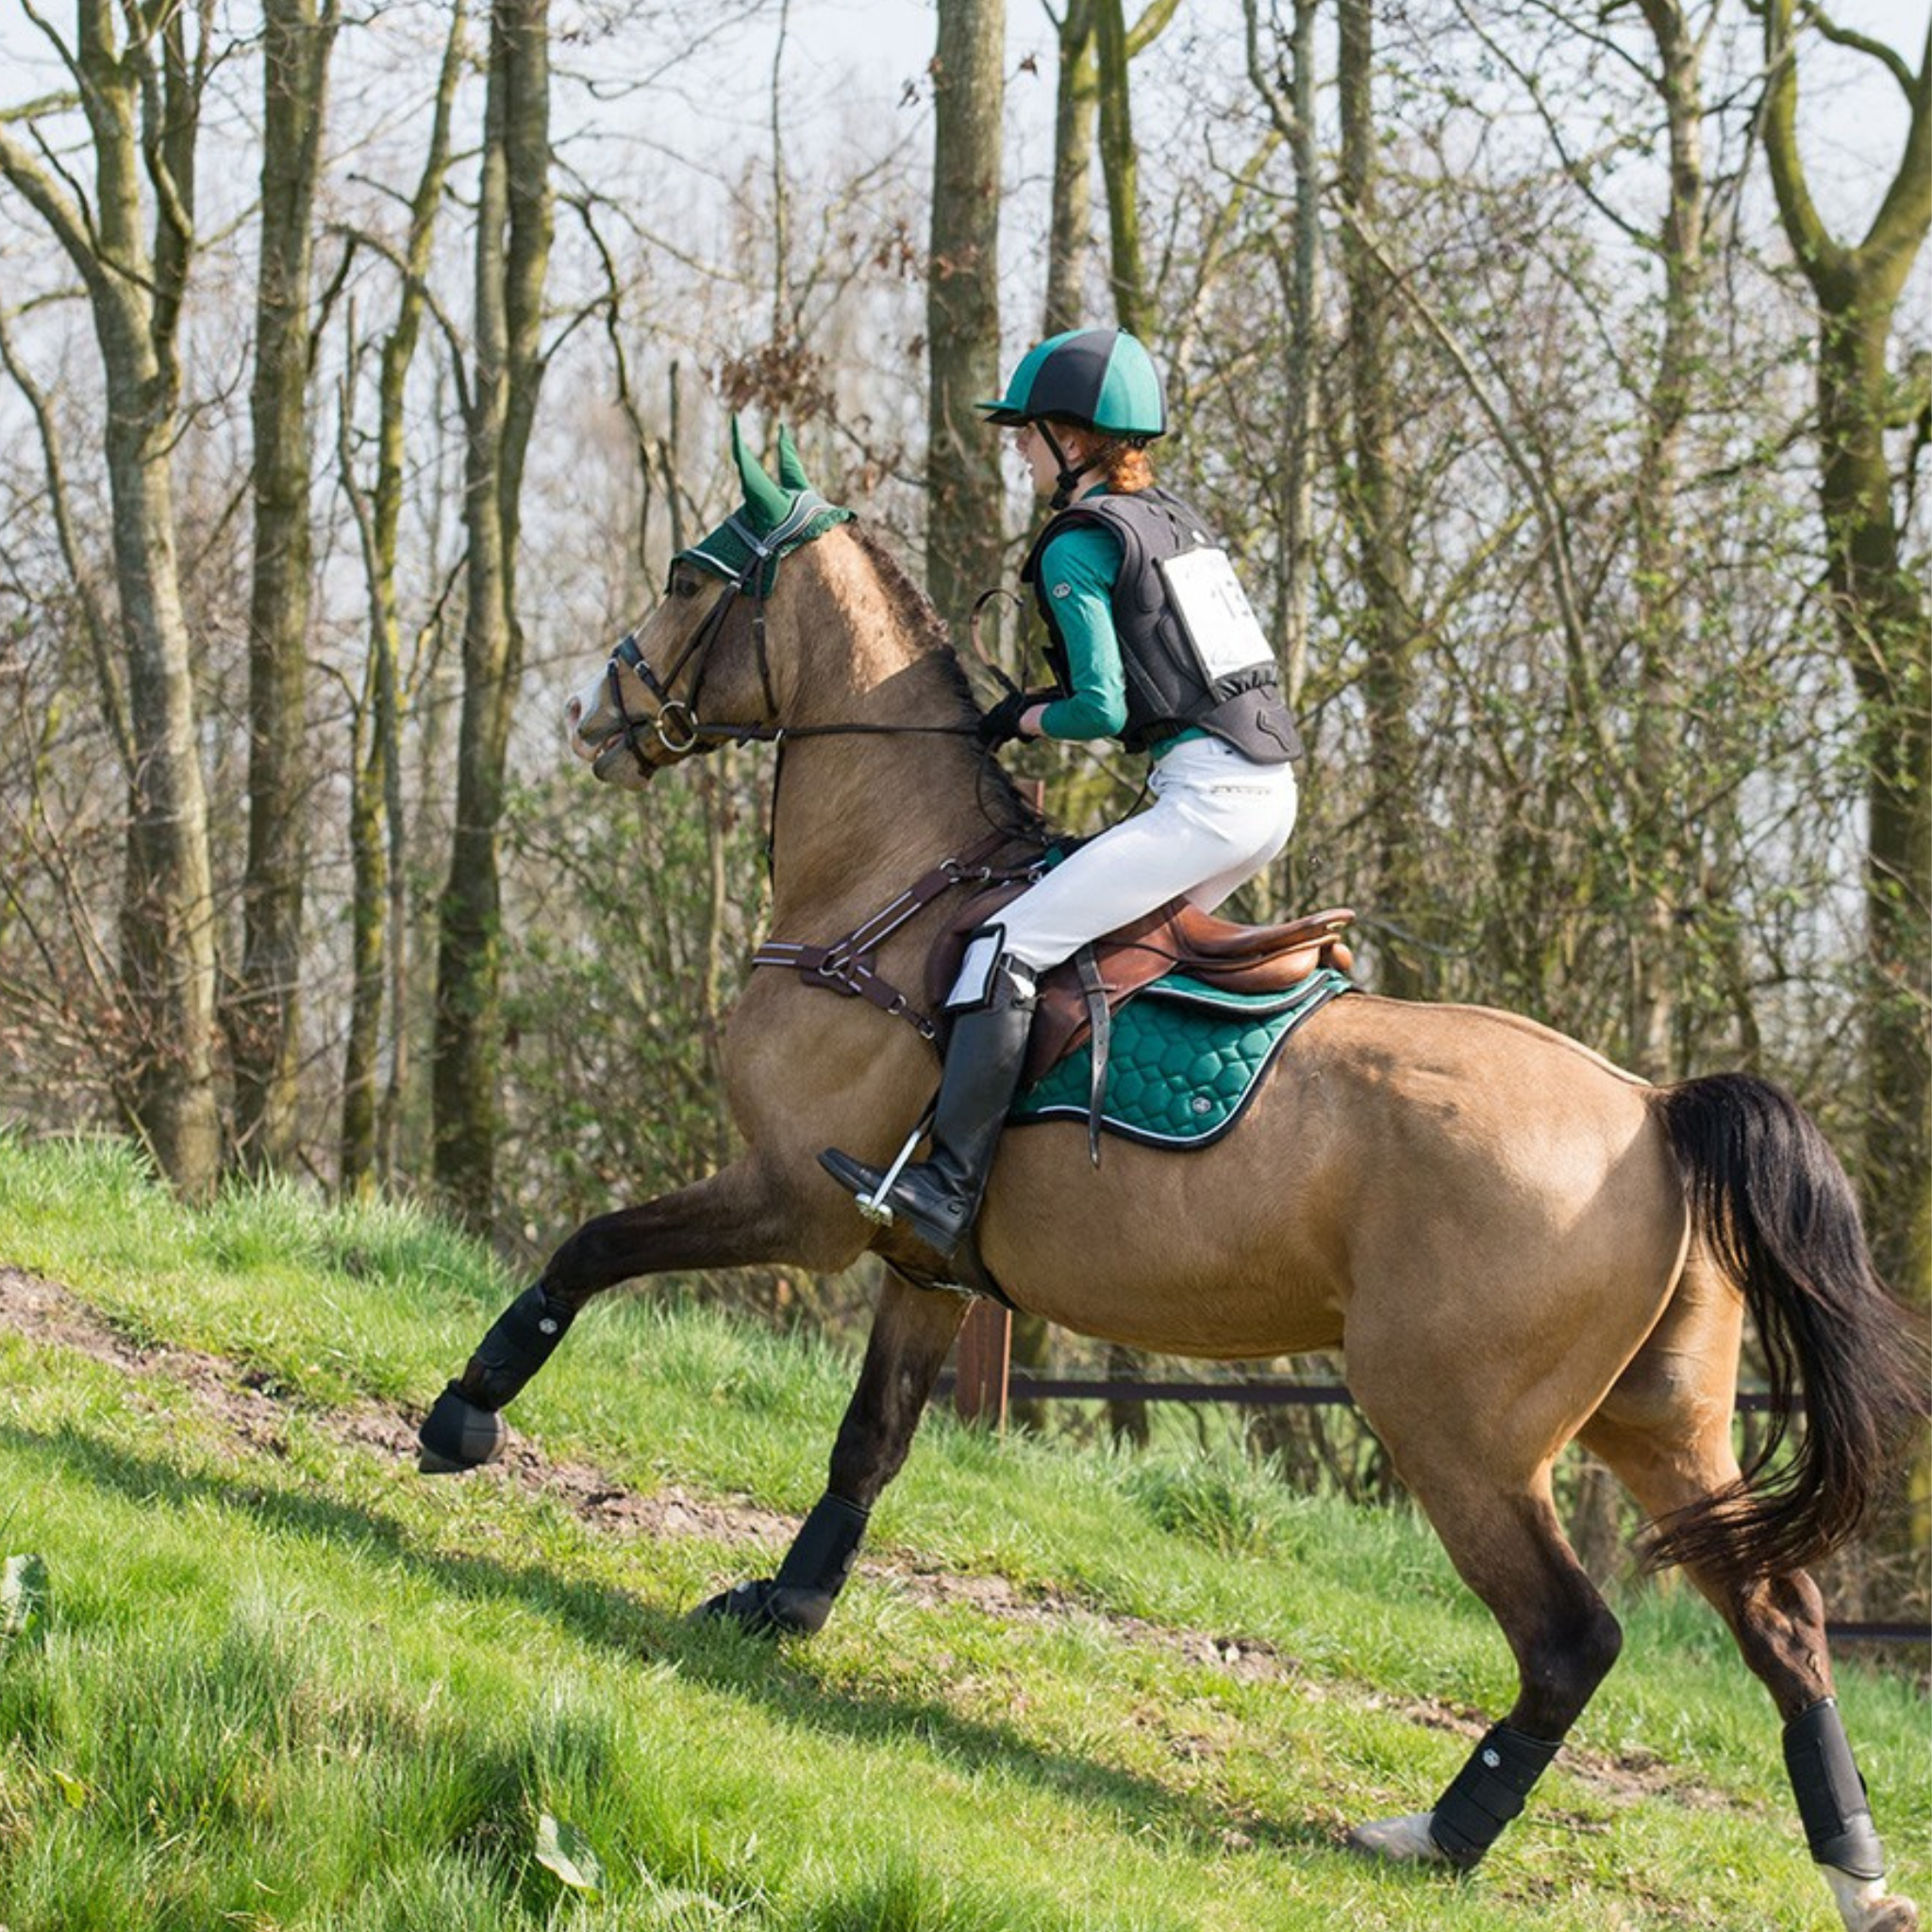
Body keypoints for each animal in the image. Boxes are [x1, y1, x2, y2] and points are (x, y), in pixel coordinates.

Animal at [415, 434, 1924, 1932]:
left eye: (687, 578)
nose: (590, 715)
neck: (892, 884)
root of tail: (1651, 1113)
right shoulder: (919, 1261)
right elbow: (868, 1443)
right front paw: (786, 1606)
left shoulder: (797, 1199)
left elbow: (591, 1248)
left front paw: (463, 1416)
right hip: (1663, 1427)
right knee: (1782, 1625)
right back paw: (1854, 1868)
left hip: (1456, 1429)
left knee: (1572, 1635)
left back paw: (1437, 1835)